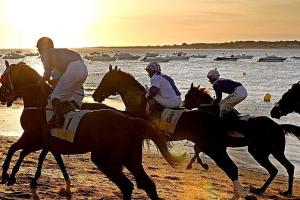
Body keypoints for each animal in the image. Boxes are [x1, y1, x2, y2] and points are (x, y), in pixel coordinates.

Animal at [0, 61, 185, 200]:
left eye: (3, 78)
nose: (2, 97)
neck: (39, 103)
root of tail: (130, 120)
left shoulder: (33, 137)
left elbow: (15, 150)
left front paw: (7, 175)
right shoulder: (44, 142)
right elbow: (26, 153)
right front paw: (16, 177)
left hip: (105, 159)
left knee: (128, 186)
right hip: (130, 158)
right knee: (146, 184)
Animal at [91, 66, 268, 199]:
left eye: (106, 79)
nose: (94, 95)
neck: (140, 102)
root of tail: (217, 120)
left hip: (214, 148)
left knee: (231, 169)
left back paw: (242, 194)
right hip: (215, 147)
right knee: (231, 168)